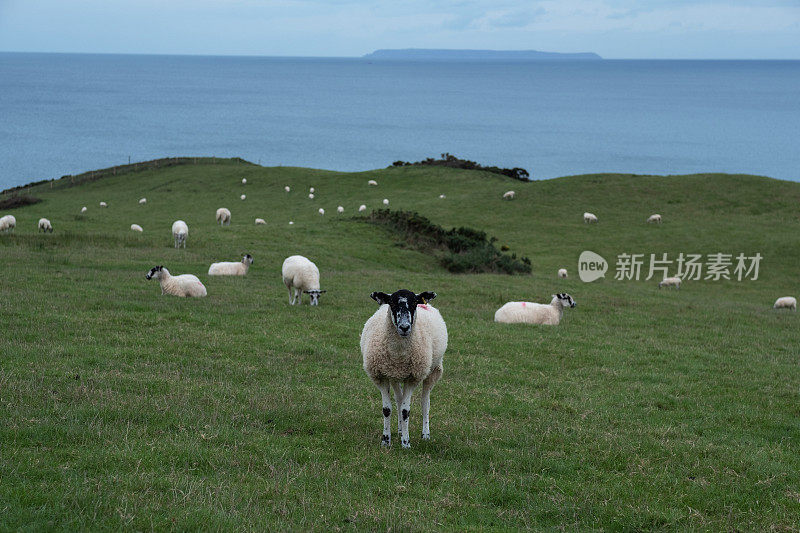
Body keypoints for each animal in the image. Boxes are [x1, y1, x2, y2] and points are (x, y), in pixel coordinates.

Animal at [360, 288, 446, 446]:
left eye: (414, 303)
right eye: (392, 303)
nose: (404, 327)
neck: (398, 355)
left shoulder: (413, 378)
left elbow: (406, 411)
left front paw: (406, 443)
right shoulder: (380, 376)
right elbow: (387, 409)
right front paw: (386, 441)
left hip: (433, 370)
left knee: (425, 402)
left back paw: (425, 434)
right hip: (394, 376)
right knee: (399, 400)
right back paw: (400, 430)